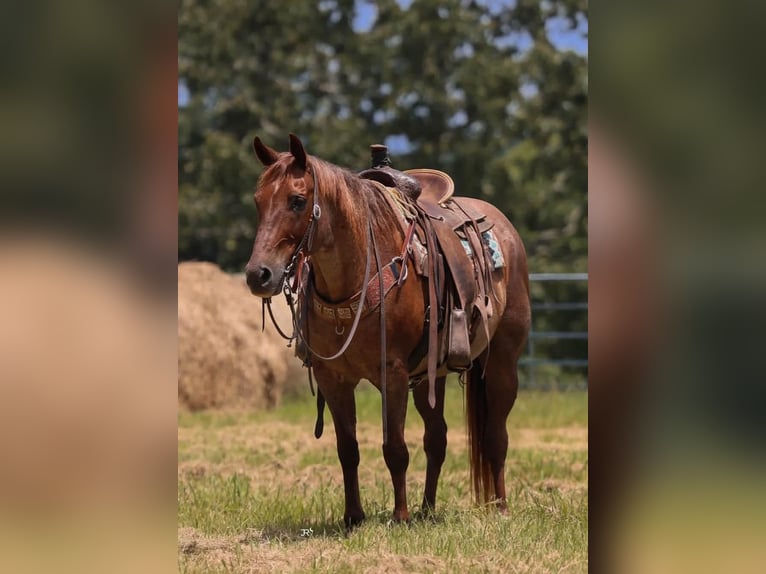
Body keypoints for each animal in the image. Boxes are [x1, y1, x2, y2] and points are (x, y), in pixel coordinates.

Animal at [245, 133, 530, 527]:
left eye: (297, 200)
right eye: (258, 201)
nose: (259, 275)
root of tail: (505, 230)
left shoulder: (391, 373)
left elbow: (395, 447)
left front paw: (400, 515)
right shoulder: (333, 377)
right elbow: (347, 449)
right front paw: (353, 516)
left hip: (502, 363)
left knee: (495, 437)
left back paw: (499, 507)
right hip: (429, 377)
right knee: (436, 438)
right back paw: (427, 508)